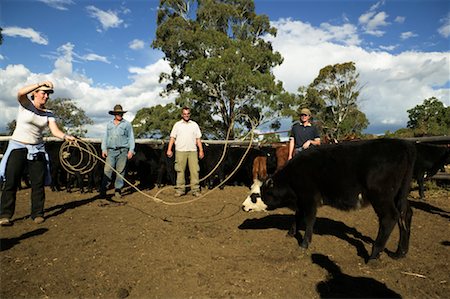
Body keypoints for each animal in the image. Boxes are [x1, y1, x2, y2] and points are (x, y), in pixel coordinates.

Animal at [244, 139, 416, 262]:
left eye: (256, 195)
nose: (243, 206)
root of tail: (402, 144)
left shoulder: (309, 198)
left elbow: (309, 220)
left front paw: (304, 243)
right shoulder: (301, 200)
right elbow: (297, 216)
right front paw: (291, 233)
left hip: (381, 197)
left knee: (389, 218)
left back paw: (374, 255)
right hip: (399, 195)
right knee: (405, 214)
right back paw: (400, 252)